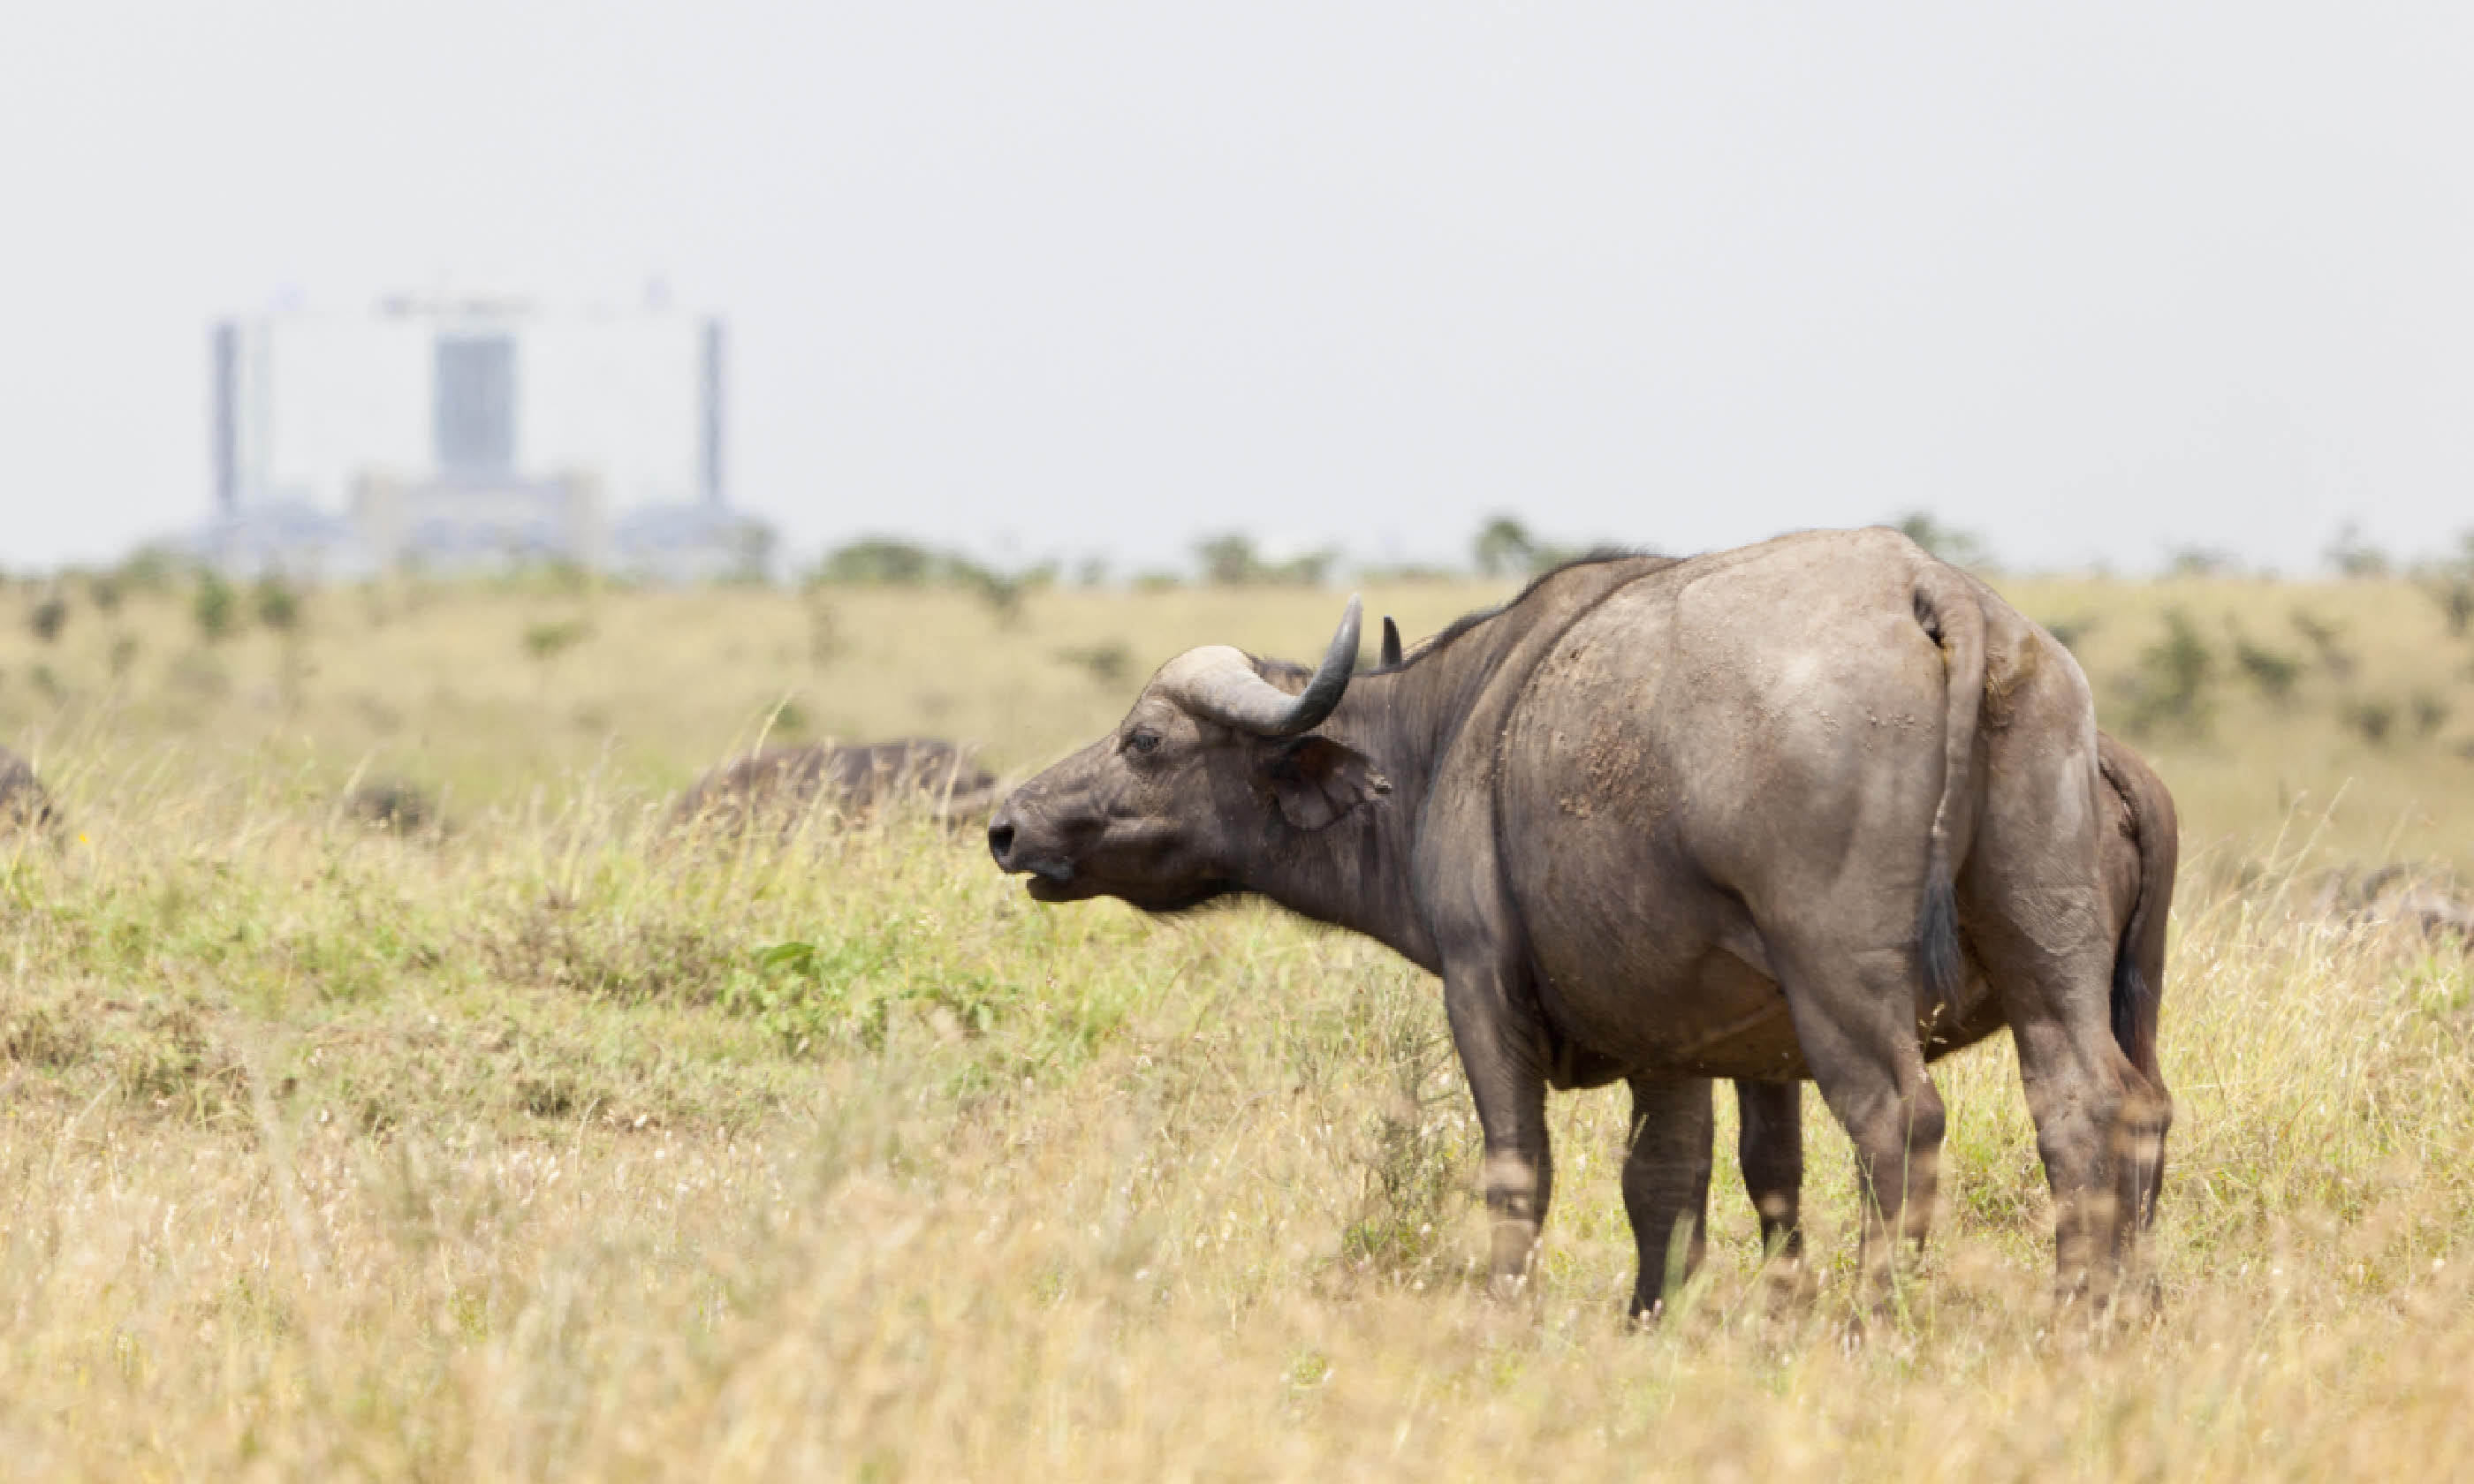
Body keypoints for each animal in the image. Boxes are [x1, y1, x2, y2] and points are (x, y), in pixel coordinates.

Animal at [994, 529, 2177, 1306]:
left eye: (1145, 740)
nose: (1009, 825)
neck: (1443, 742)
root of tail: (1937, 591)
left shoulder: (1482, 992)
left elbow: (1520, 1171)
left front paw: (1504, 1318)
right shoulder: (1683, 1038)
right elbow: (1676, 1186)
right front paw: (1658, 1319)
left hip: (1839, 977)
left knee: (1899, 1119)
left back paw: (1869, 1318)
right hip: (2047, 960)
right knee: (2093, 1104)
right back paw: (2090, 1312)